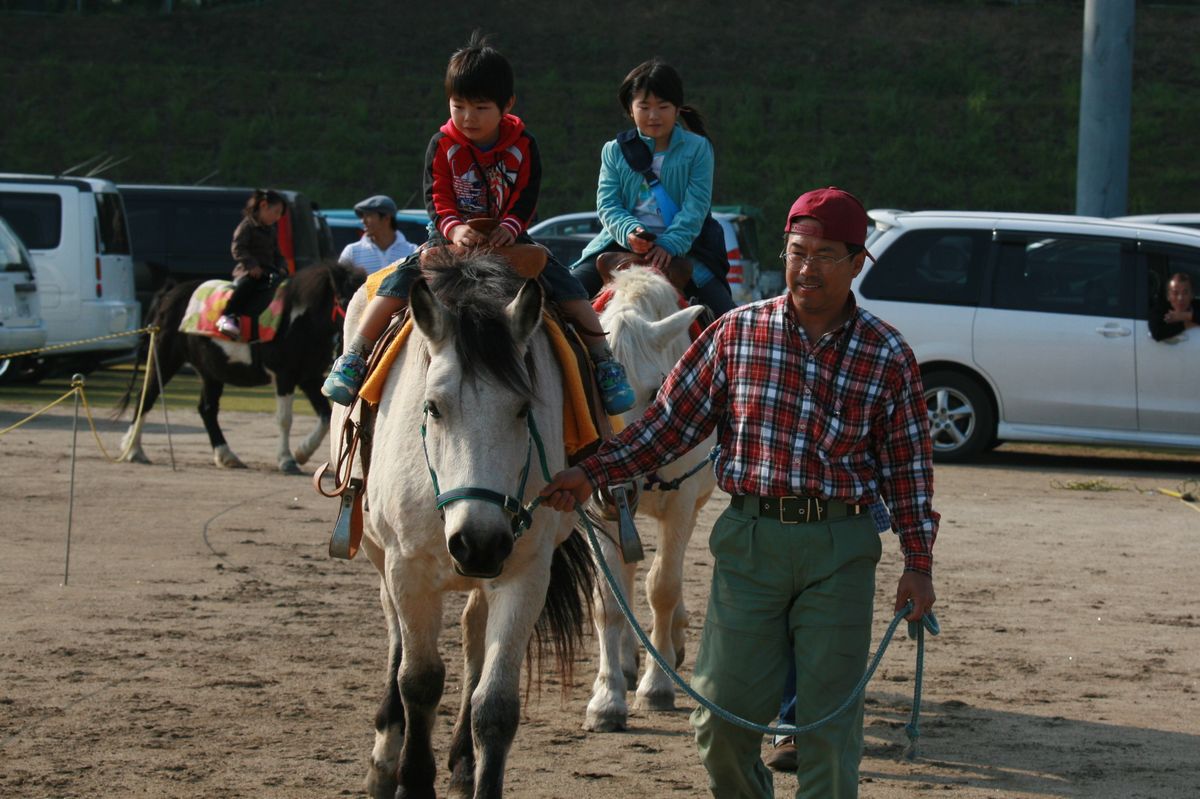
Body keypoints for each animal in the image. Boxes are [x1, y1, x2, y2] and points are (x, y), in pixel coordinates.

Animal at [331, 250, 592, 796]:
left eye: (523, 408)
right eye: (432, 408)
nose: (478, 543)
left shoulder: (525, 573)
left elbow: (495, 706)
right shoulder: (407, 569)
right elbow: (419, 682)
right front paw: (411, 779)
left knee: (473, 637)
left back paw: (461, 764)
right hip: (382, 557)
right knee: (396, 639)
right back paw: (385, 758)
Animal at [585, 266, 715, 729]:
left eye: (656, 390)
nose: (617, 486)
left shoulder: (682, 503)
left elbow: (662, 587)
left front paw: (656, 687)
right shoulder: (597, 514)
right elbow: (608, 599)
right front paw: (607, 698)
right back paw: (625, 663)